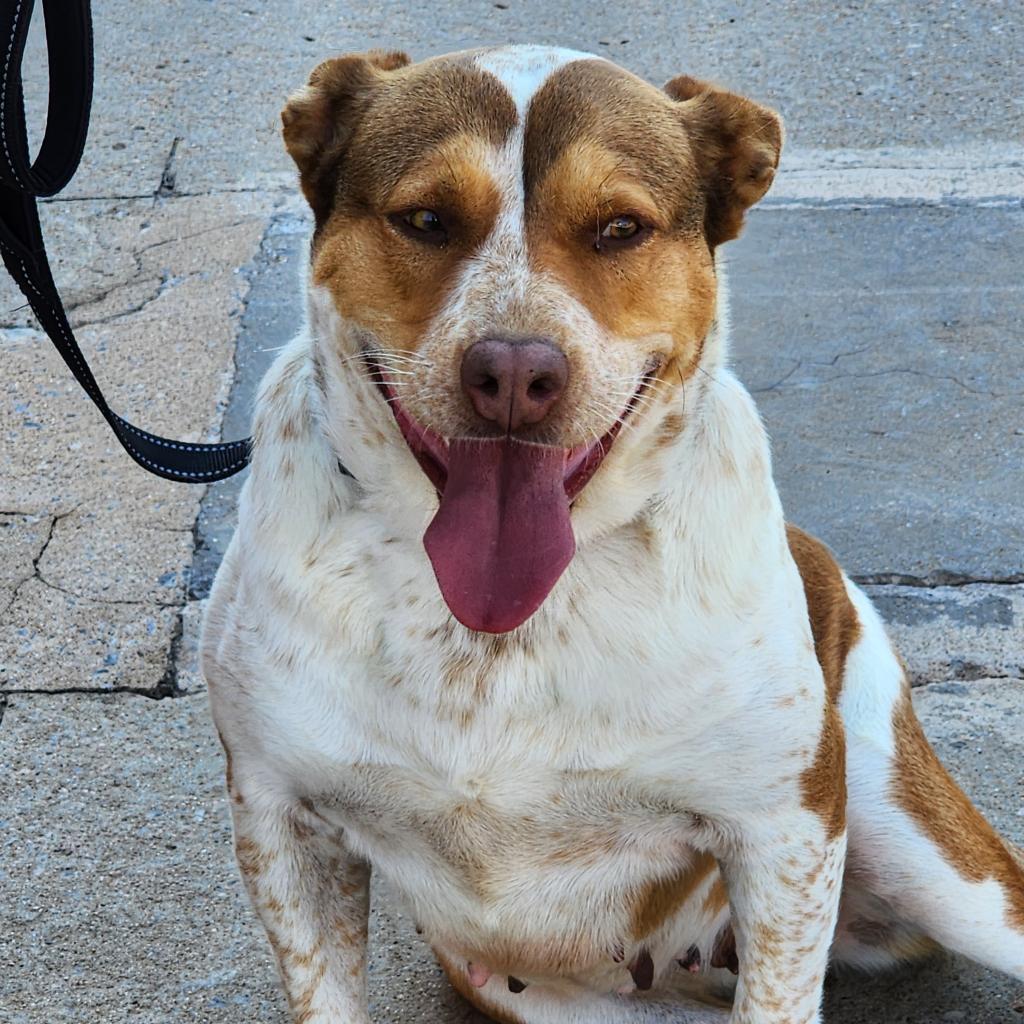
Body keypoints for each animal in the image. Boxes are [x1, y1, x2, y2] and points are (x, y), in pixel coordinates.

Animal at [201, 41, 1024, 1024]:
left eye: (621, 229)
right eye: (427, 219)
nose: (514, 372)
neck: (496, 638)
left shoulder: (785, 829)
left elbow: (779, 992)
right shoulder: (283, 825)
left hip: (923, 847)